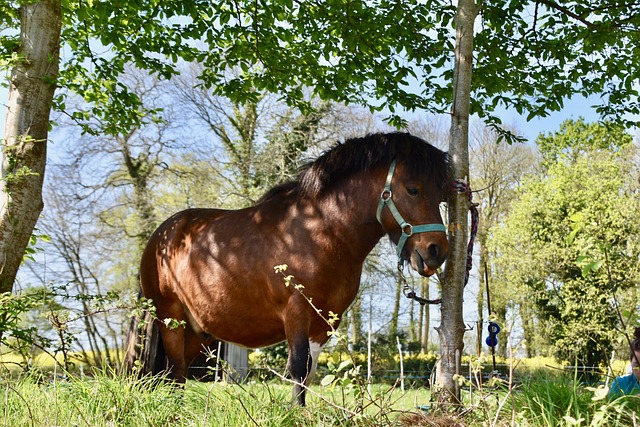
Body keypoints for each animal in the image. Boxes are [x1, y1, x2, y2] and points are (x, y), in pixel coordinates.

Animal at [140, 132, 450, 406]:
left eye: (441, 195)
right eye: (412, 189)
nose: (437, 250)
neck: (319, 232)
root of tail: (161, 237)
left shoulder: (325, 323)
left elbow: (310, 372)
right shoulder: (297, 310)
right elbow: (299, 367)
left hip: (198, 330)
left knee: (178, 371)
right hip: (171, 318)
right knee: (175, 369)